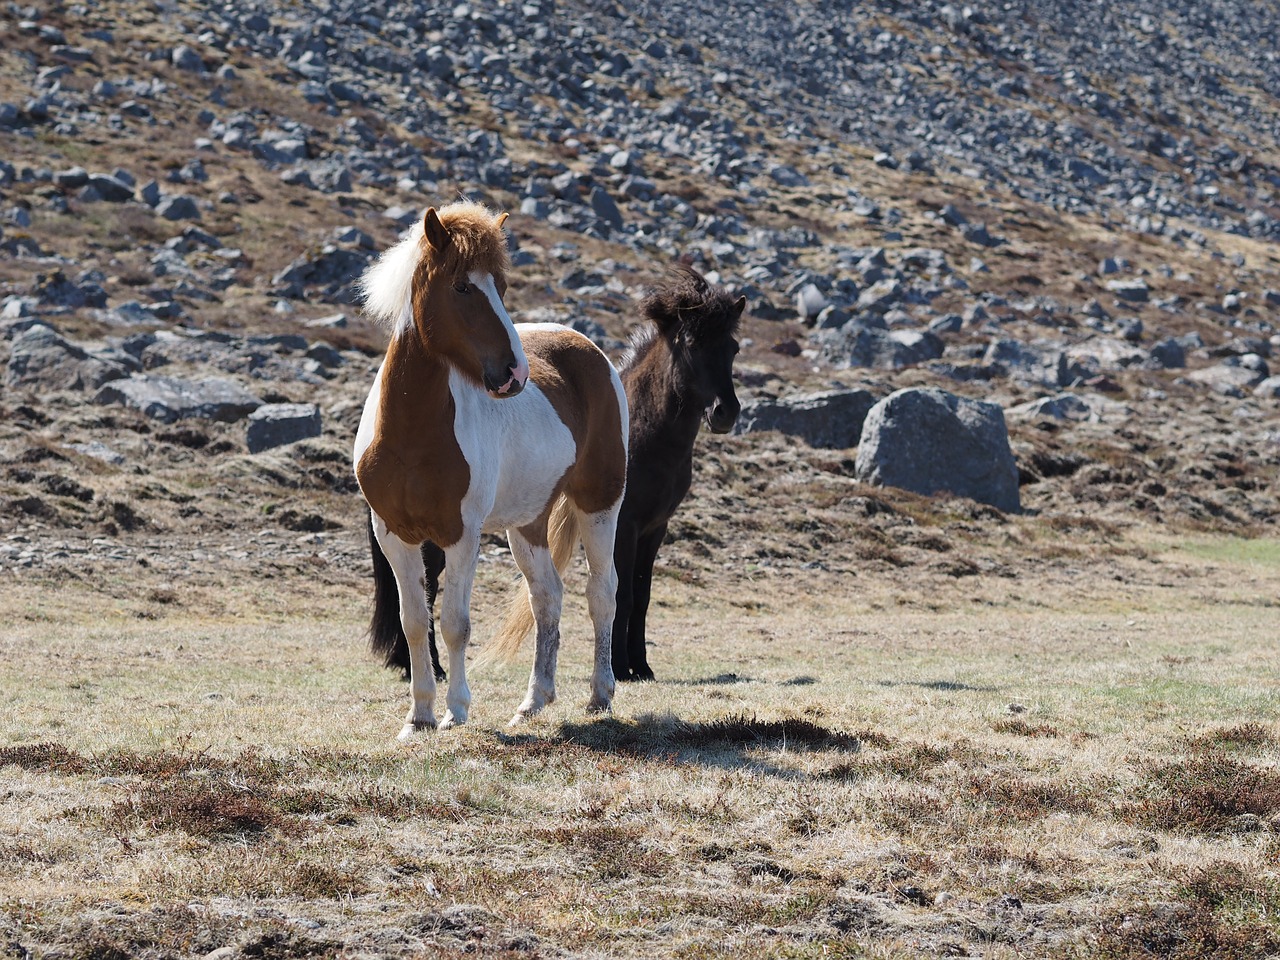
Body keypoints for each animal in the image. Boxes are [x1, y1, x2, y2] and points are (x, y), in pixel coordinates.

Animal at [353, 199, 627, 732]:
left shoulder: (462, 533)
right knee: (547, 596)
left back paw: (600, 696)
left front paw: (456, 711)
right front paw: (418, 717)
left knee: (601, 591)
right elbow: (414, 622)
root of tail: (589, 350)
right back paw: (533, 700)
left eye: (499, 286)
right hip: (528, 522)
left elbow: (454, 623)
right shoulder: (392, 533)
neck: (409, 434)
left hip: (600, 503)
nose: (515, 373)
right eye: (461, 286)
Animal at [371, 263, 747, 686]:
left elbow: (643, 594)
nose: (725, 412)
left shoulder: (655, 527)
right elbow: (624, 593)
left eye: (732, 349)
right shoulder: (625, 522)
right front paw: (621, 666)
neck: (645, 434)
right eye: (691, 345)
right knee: (428, 590)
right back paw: (425, 666)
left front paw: (642, 665)